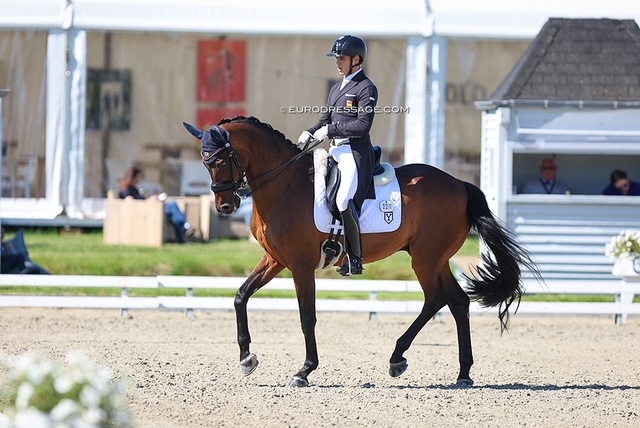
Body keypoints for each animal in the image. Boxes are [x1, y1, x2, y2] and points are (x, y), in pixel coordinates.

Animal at [182, 116, 544, 388]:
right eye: (204, 162)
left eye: (219, 161)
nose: (225, 206)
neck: (284, 185)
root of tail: (460, 185)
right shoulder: (275, 260)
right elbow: (240, 296)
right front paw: (247, 358)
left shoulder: (300, 265)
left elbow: (307, 316)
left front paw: (304, 371)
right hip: (436, 259)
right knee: (457, 302)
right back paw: (462, 373)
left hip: (425, 260)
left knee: (435, 300)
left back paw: (399, 358)